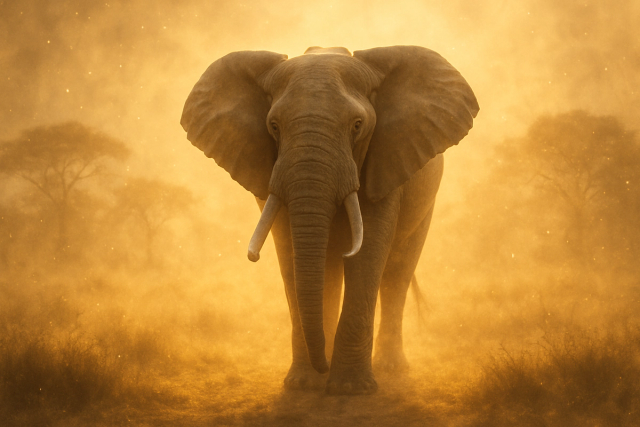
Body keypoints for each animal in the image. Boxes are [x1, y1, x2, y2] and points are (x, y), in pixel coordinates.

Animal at [181, 45, 478, 395]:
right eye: (274, 126)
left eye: (358, 125)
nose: (322, 365)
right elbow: (291, 254)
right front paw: (303, 384)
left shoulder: (384, 161)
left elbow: (368, 251)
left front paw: (350, 389)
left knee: (397, 272)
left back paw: (391, 367)